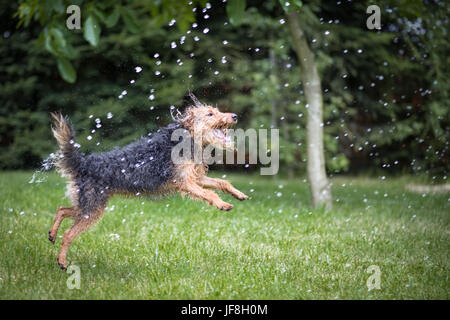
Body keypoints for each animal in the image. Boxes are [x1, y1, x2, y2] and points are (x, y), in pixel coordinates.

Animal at [49, 94, 250, 268]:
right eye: (210, 114)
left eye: (216, 110)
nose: (234, 116)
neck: (187, 138)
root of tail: (83, 163)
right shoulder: (185, 182)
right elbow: (209, 193)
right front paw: (222, 204)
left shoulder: (196, 178)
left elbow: (222, 183)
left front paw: (238, 194)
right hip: (92, 208)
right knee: (68, 234)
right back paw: (62, 261)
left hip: (88, 205)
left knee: (62, 209)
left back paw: (52, 234)